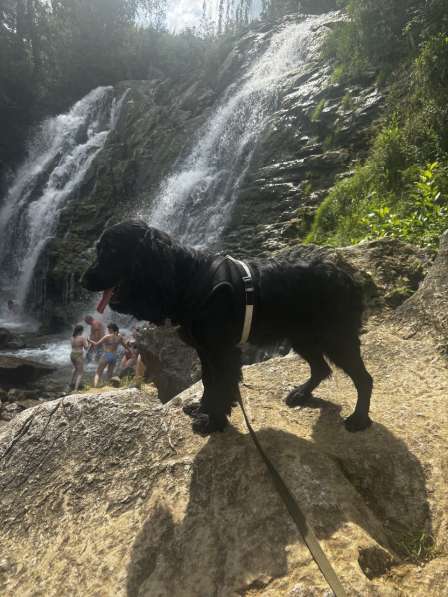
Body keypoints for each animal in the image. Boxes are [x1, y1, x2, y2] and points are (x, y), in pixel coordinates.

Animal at [82, 219, 372, 434]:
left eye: (110, 252)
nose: (83, 281)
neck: (189, 279)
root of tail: (347, 276)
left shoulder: (222, 352)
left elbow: (221, 385)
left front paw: (212, 420)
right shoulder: (206, 351)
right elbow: (210, 382)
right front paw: (203, 409)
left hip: (336, 338)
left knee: (363, 379)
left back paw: (358, 418)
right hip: (303, 336)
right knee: (321, 368)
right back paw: (301, 393)